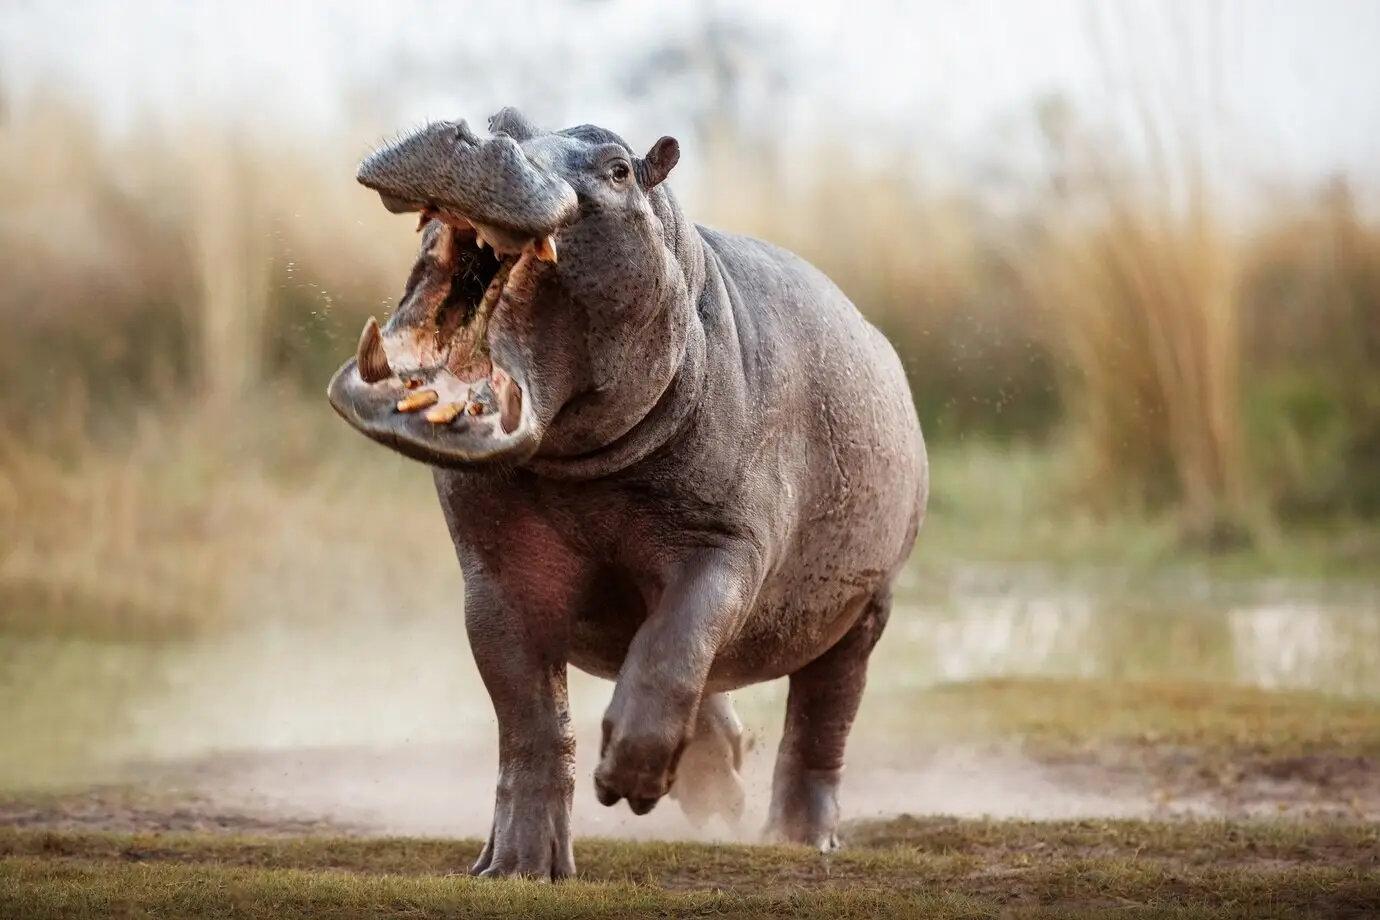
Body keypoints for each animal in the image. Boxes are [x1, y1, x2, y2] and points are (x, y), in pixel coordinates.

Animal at [326, 107, 928, 880]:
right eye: (502, 118)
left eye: (617, 167)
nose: (475, 138)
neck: (580, 465)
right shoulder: (495, 575)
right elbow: (531, 721)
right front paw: (516, 866)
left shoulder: (725, 543)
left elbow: (677, 642)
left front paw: (630, 781)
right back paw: (718, 788)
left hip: (867, 607)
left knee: (823, 717)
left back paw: (799, 836)